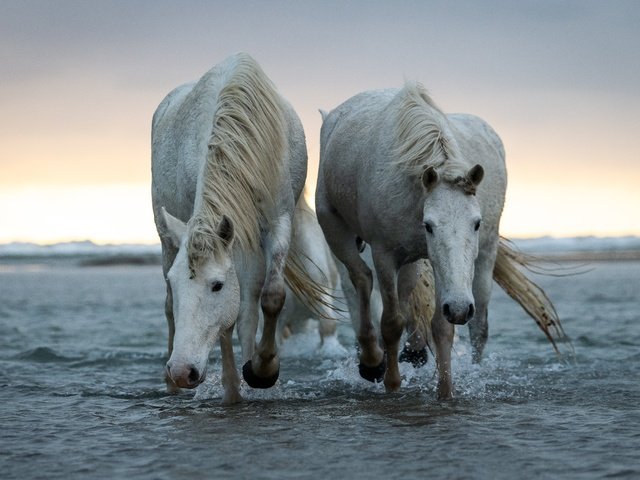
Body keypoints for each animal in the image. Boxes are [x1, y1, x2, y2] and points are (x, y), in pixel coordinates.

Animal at [318, 81, 508, 398]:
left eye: (477, 223)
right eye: (429, 226)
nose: (461, 308)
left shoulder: (434, 261)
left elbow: (441, 326)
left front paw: (445, 392)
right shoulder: (384, 254)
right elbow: (391, 322)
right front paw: (392, 383)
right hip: (334, 228)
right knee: (361, 278)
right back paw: (372, 361)